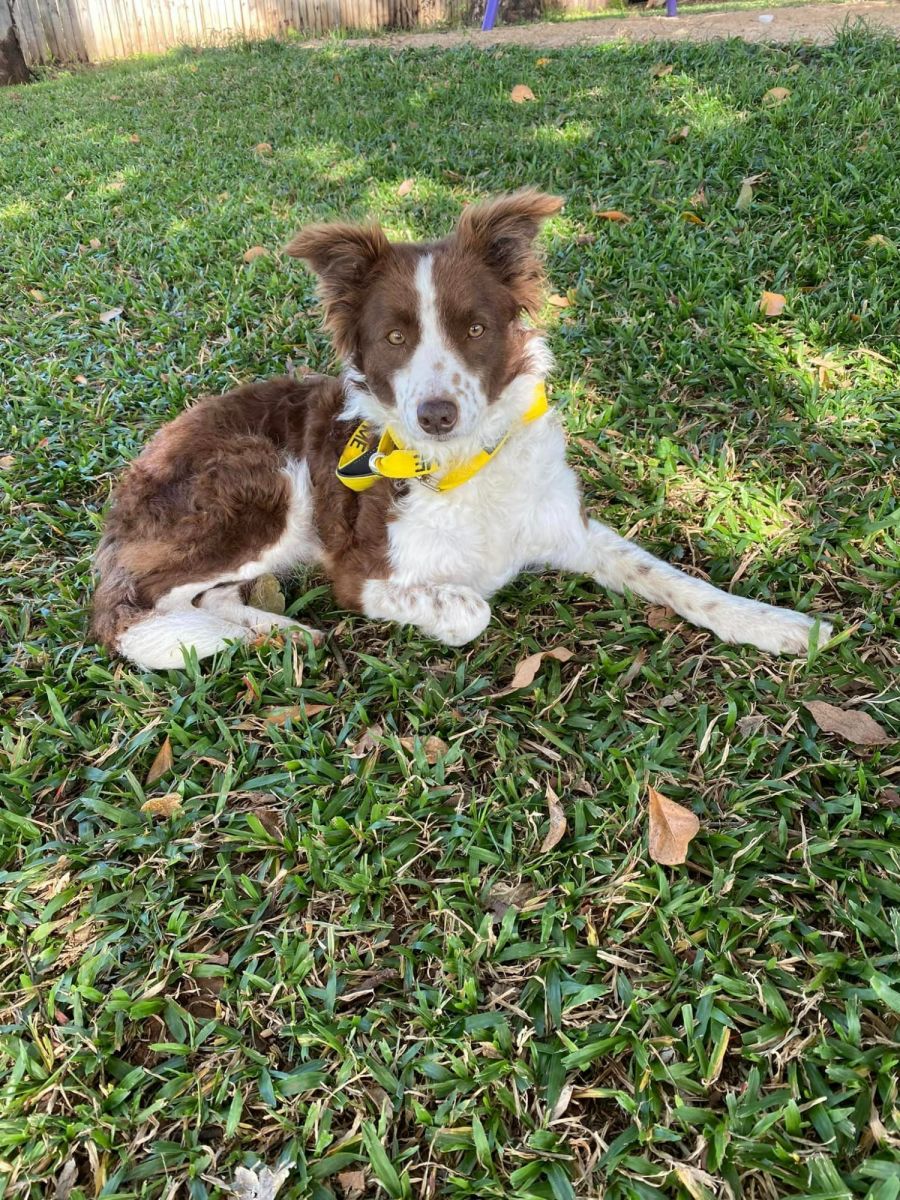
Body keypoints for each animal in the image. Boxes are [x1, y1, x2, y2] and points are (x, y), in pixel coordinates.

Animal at [90, 189, 832, 670]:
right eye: (394, 338)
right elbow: (472, 608)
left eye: (474, 329)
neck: (462, 464)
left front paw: (776, 625)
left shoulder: (571, 530)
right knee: (139, 610)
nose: (435, 415)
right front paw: (455, 610)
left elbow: (675, 579)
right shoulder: (362, 575)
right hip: (262, 485)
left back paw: (272, 632)